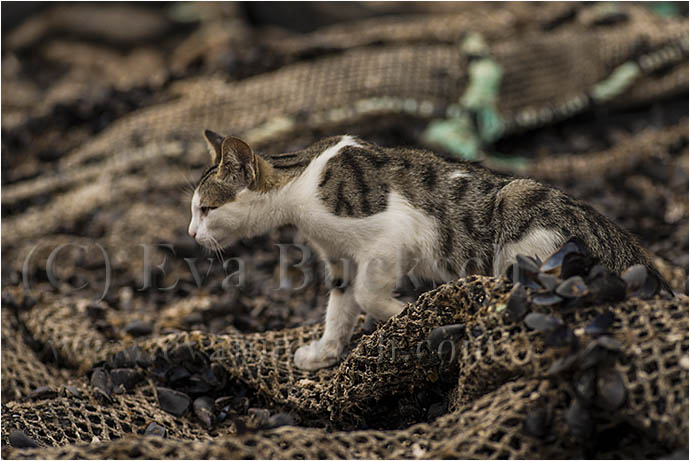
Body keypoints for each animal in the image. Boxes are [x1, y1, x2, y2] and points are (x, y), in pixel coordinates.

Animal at [188, 128, 660, 370]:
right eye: (195, 210)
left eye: (207, 209)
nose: (192, 234)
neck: (300, 183)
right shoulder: (340, 259)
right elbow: (340, 308)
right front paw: (325, 352)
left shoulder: (391, 237)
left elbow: (368, 294)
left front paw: (406, 314)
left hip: (520, 211)